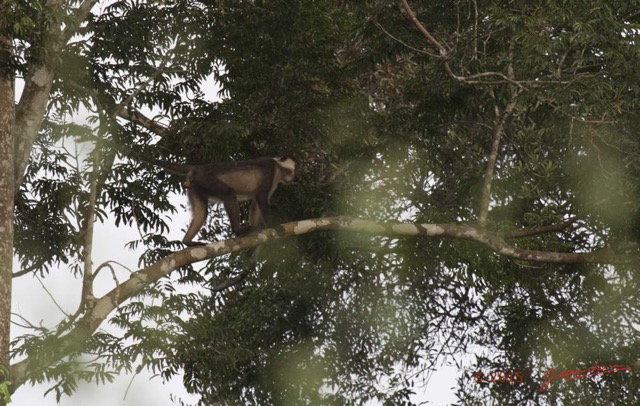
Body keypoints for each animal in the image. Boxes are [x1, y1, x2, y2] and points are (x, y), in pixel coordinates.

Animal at [141, 155, 296, 244]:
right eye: (295, 170)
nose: (296, 177)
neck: (279, 169)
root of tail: (198, 168)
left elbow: (256, 204)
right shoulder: (270, 168)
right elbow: (261, 198)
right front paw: (272, 226)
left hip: (195, 186)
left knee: (202, 212)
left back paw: (187, 242)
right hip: (204, 178)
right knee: (229, 193)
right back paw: (238, 231)